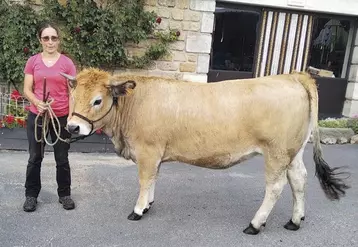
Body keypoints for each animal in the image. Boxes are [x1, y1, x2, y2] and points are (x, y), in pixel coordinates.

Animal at [60, 68, 350, 235]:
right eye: (73, 98)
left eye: (98, 100)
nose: (72, 127)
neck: (134, 103)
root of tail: (292, 76)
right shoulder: (155, 154)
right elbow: (153, 179)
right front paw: (150, 203)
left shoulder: (147, 151)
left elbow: (144, 180)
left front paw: (139, 209)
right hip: (293, 151)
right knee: (299, 179)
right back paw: (295, 220)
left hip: (276, 152)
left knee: (275, 187)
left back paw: (255, 224)